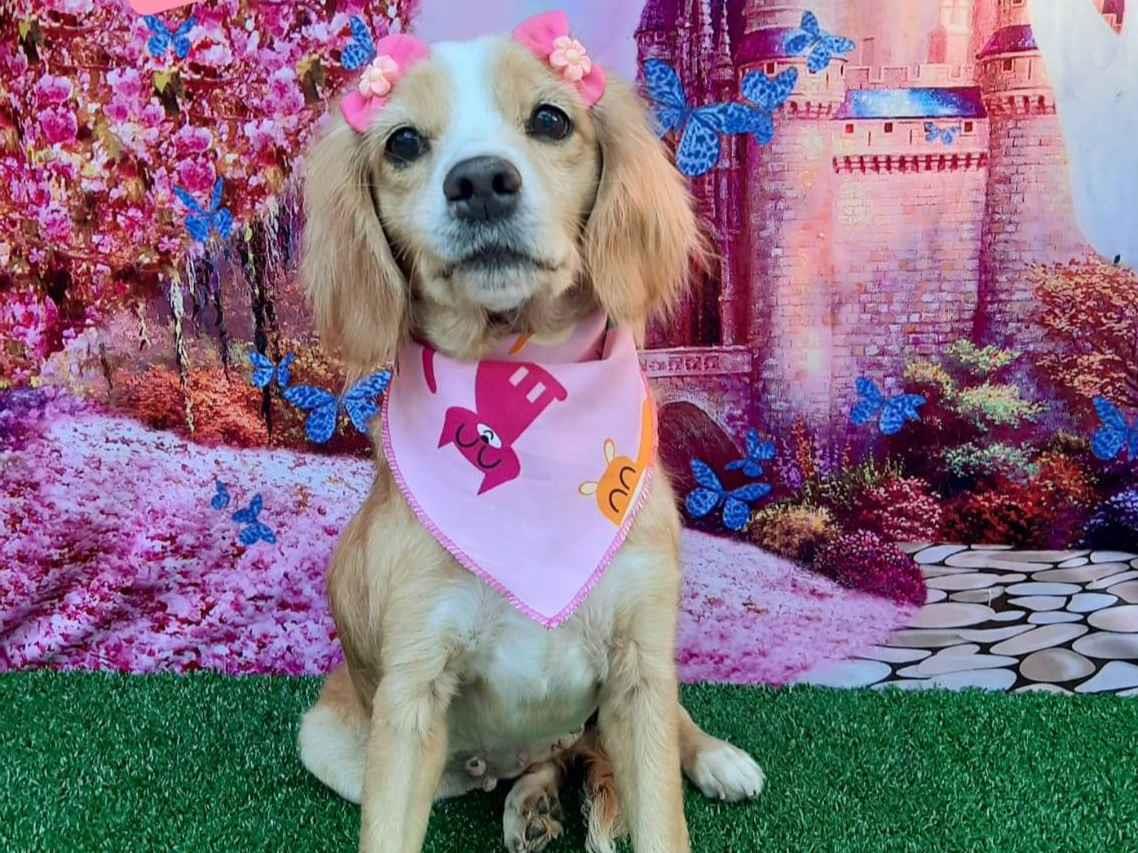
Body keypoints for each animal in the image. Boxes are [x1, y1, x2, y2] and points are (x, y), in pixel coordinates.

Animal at [296, 13, 765, 853]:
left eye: (551, 119)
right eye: (402, 142)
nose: (480, 181)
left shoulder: (640, 665)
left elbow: (661, 817)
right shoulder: (412, 689)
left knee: (648, 727)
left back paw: (714, 757)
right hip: (330, 740)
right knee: (544, 759)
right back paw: (533, 803)